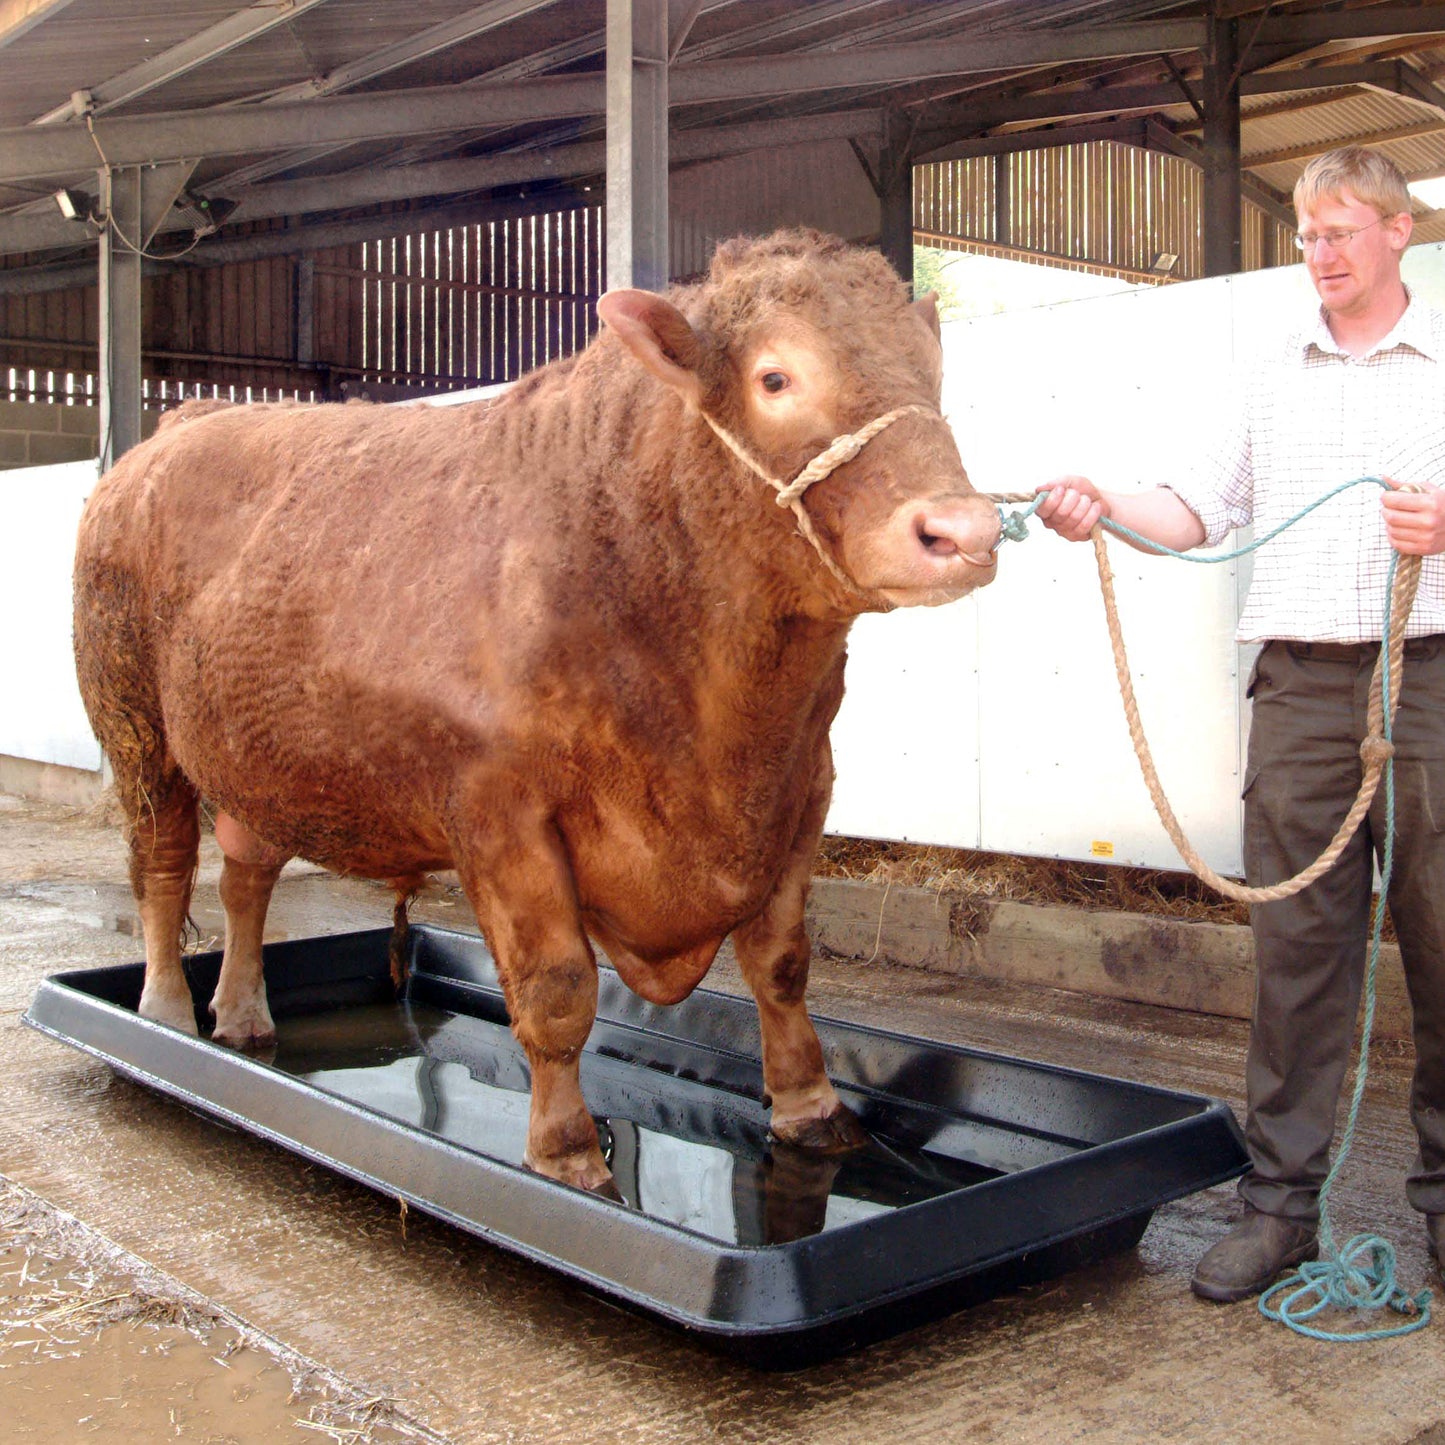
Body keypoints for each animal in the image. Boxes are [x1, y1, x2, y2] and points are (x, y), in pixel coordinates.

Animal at [72, 228, 1001, 1195]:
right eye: (774, 377)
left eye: (929, 370)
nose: (961, 529)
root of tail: (187, 421)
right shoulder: (500, 810)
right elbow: (557, 987)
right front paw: (564, 1153)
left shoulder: (802, 786)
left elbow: (780, 964)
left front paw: (811, 1108)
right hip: (135, 727)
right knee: (164, 867)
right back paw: (165, 1012)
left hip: (259, 754)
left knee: (245, 875)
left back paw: (244, 1014)